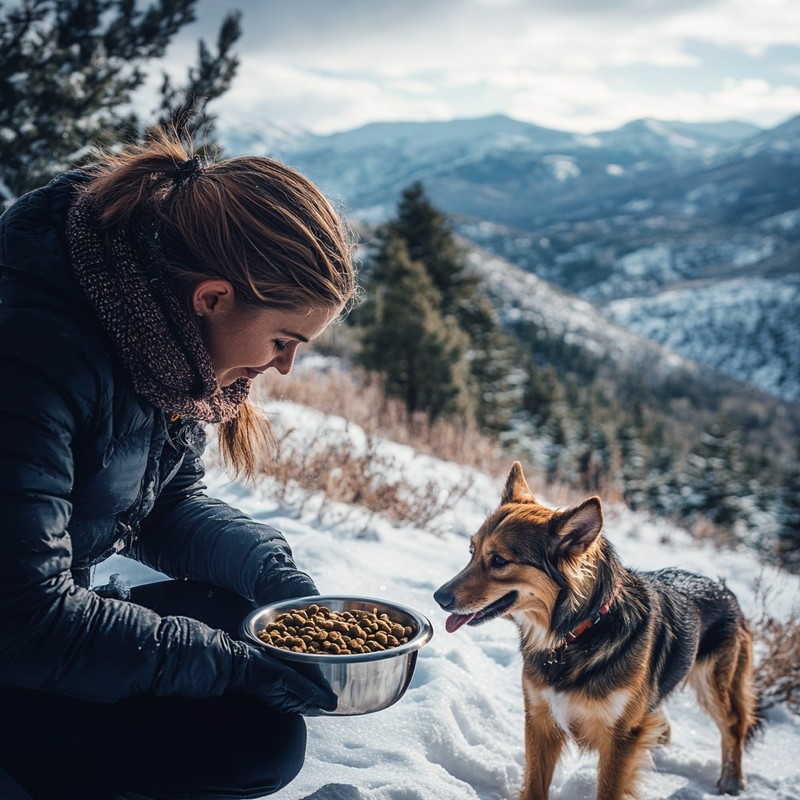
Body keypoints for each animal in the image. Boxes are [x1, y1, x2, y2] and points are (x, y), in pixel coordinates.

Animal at [434, 462, 760, 800]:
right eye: (471, 551)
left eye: (499, 560)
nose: (438, 597)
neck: (575, 635)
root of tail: (724, 588)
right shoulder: (540, 719)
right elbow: (536, 784)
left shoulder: (622, 737)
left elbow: (609, 788)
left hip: (714, 684)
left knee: (734, 725)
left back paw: (732, 779)